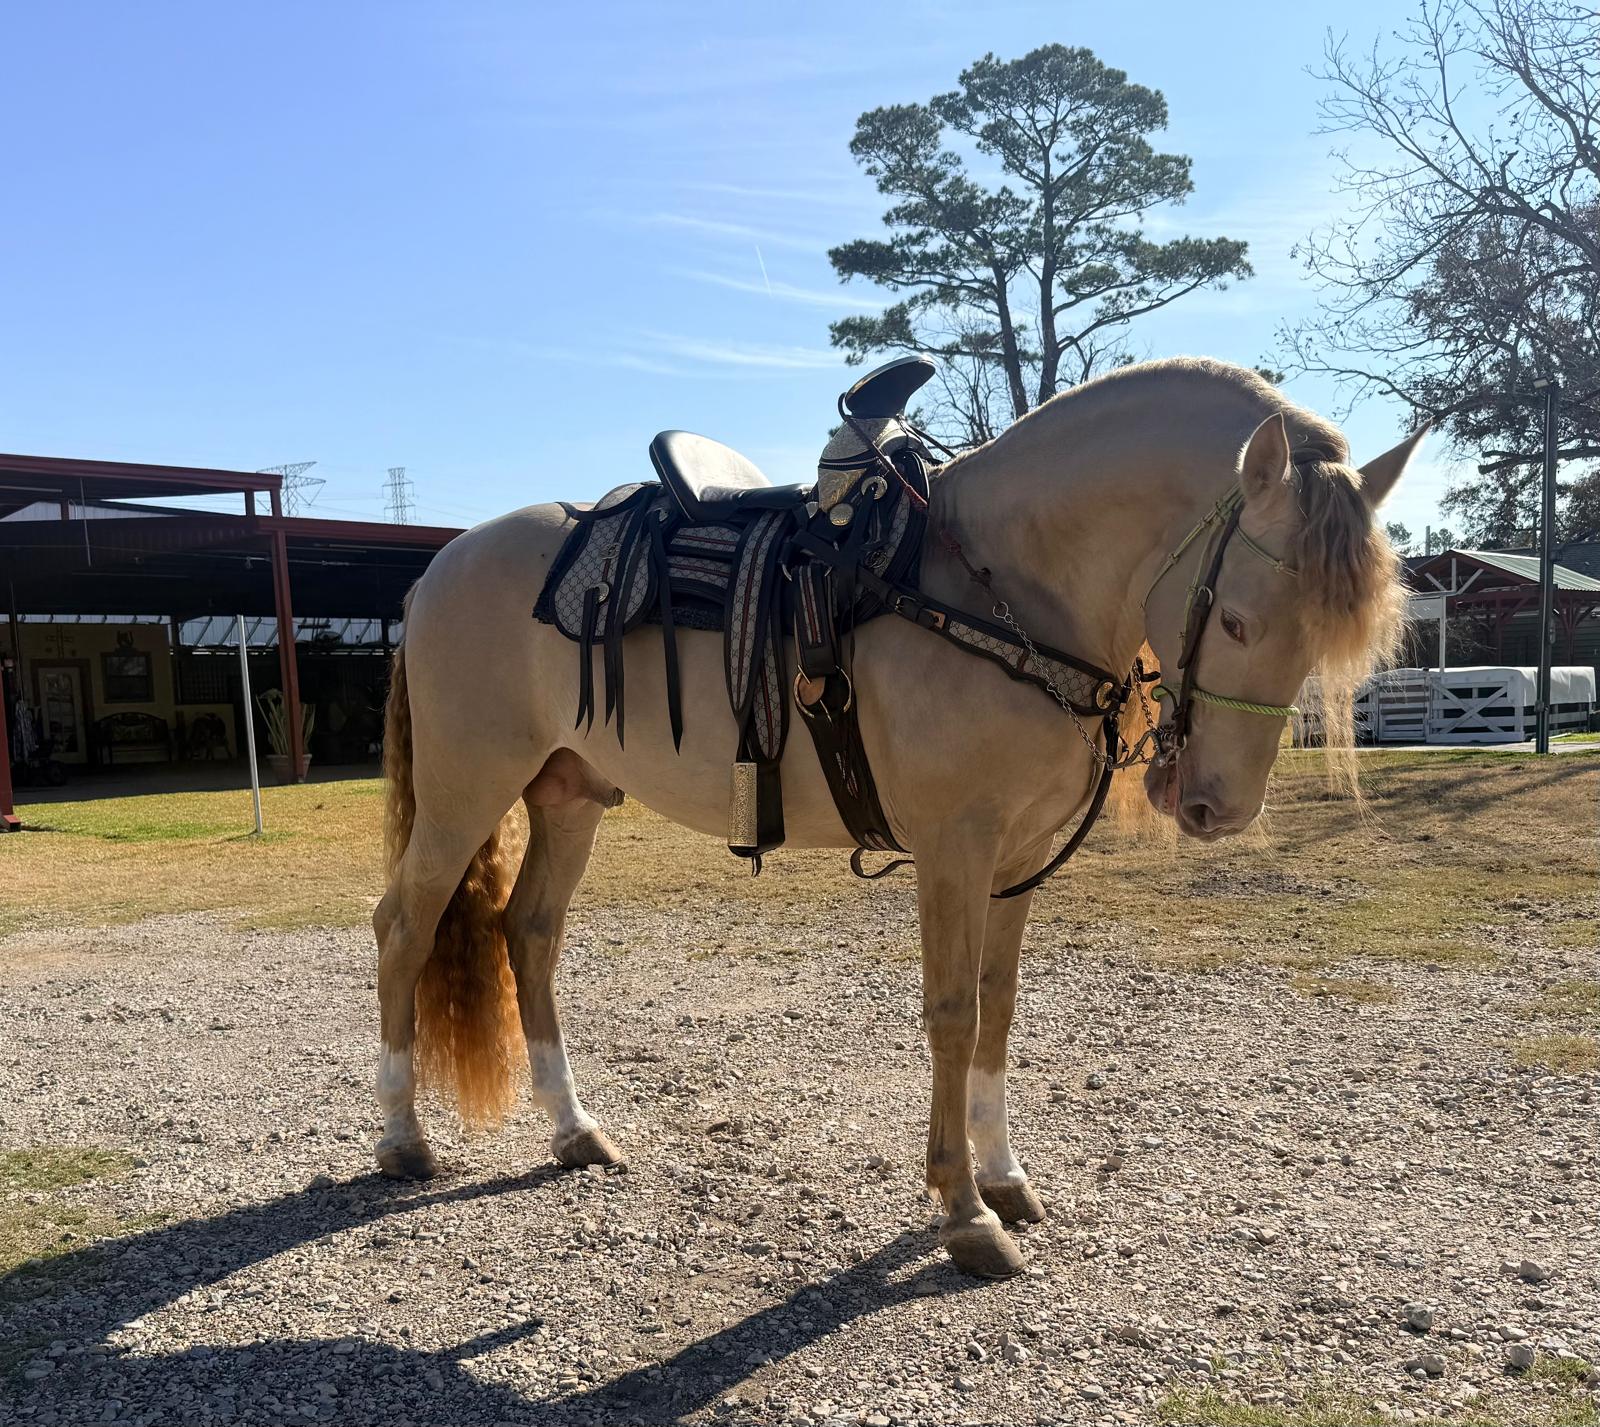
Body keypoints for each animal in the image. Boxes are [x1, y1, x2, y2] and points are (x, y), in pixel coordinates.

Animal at [371, 357, 1422, 1279]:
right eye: (1237, 618)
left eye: (1321, 636)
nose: (1215, 805)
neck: (999, 584)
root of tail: (440, 568)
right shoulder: (954, 849)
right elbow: (953, 1016)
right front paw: (964, 1213)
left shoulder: (1018, 856)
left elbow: (999, 1007)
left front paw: (1005, 1178)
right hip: (468, 790)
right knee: (405, 926)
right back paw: (401, 1135)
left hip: (569, 795)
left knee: (530, 932)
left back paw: (573, 1127)